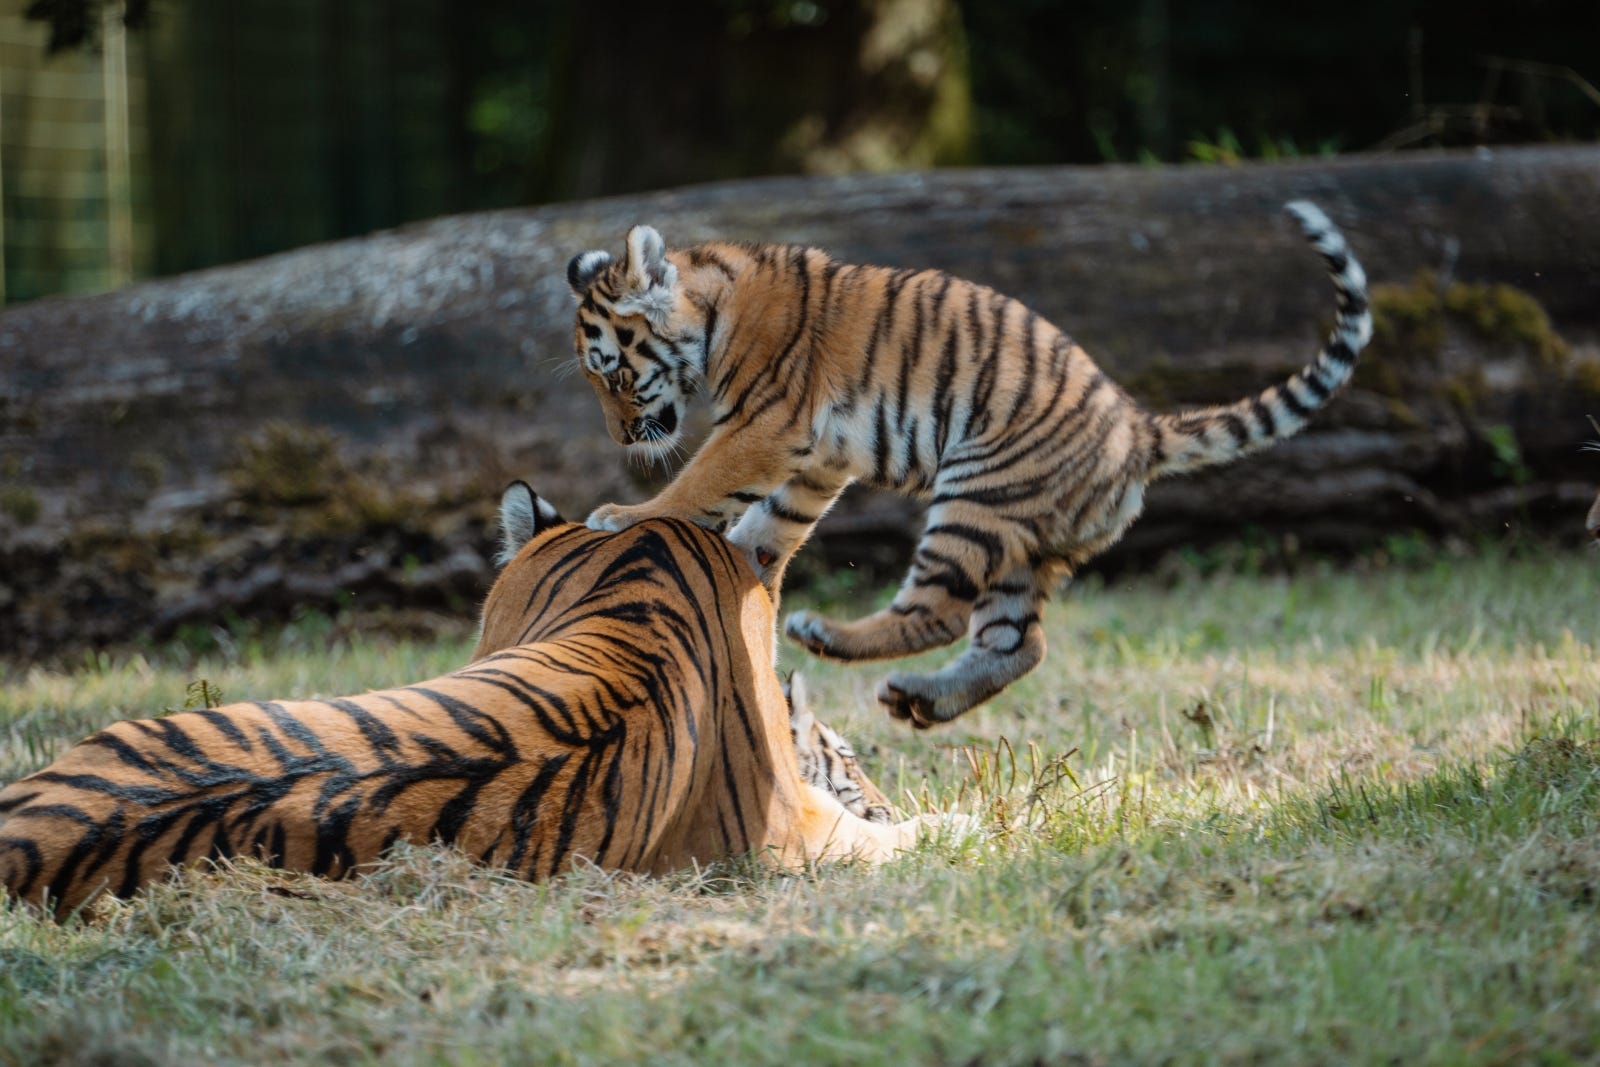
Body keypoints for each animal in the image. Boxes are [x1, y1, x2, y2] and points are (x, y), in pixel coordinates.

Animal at [566, 202, 1376, 726]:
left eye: (611, 372)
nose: (619, 437)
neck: (710, 303)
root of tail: (1138, 429)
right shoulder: (817, 457)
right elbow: (769, 522)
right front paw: (746, 568)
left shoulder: (766, 425)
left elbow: (698, 482)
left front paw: (622, 516)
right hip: (1024, 543)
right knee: (1020, 643)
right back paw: (920, 700)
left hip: (976, 495)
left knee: (938, 612)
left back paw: (829, 634)